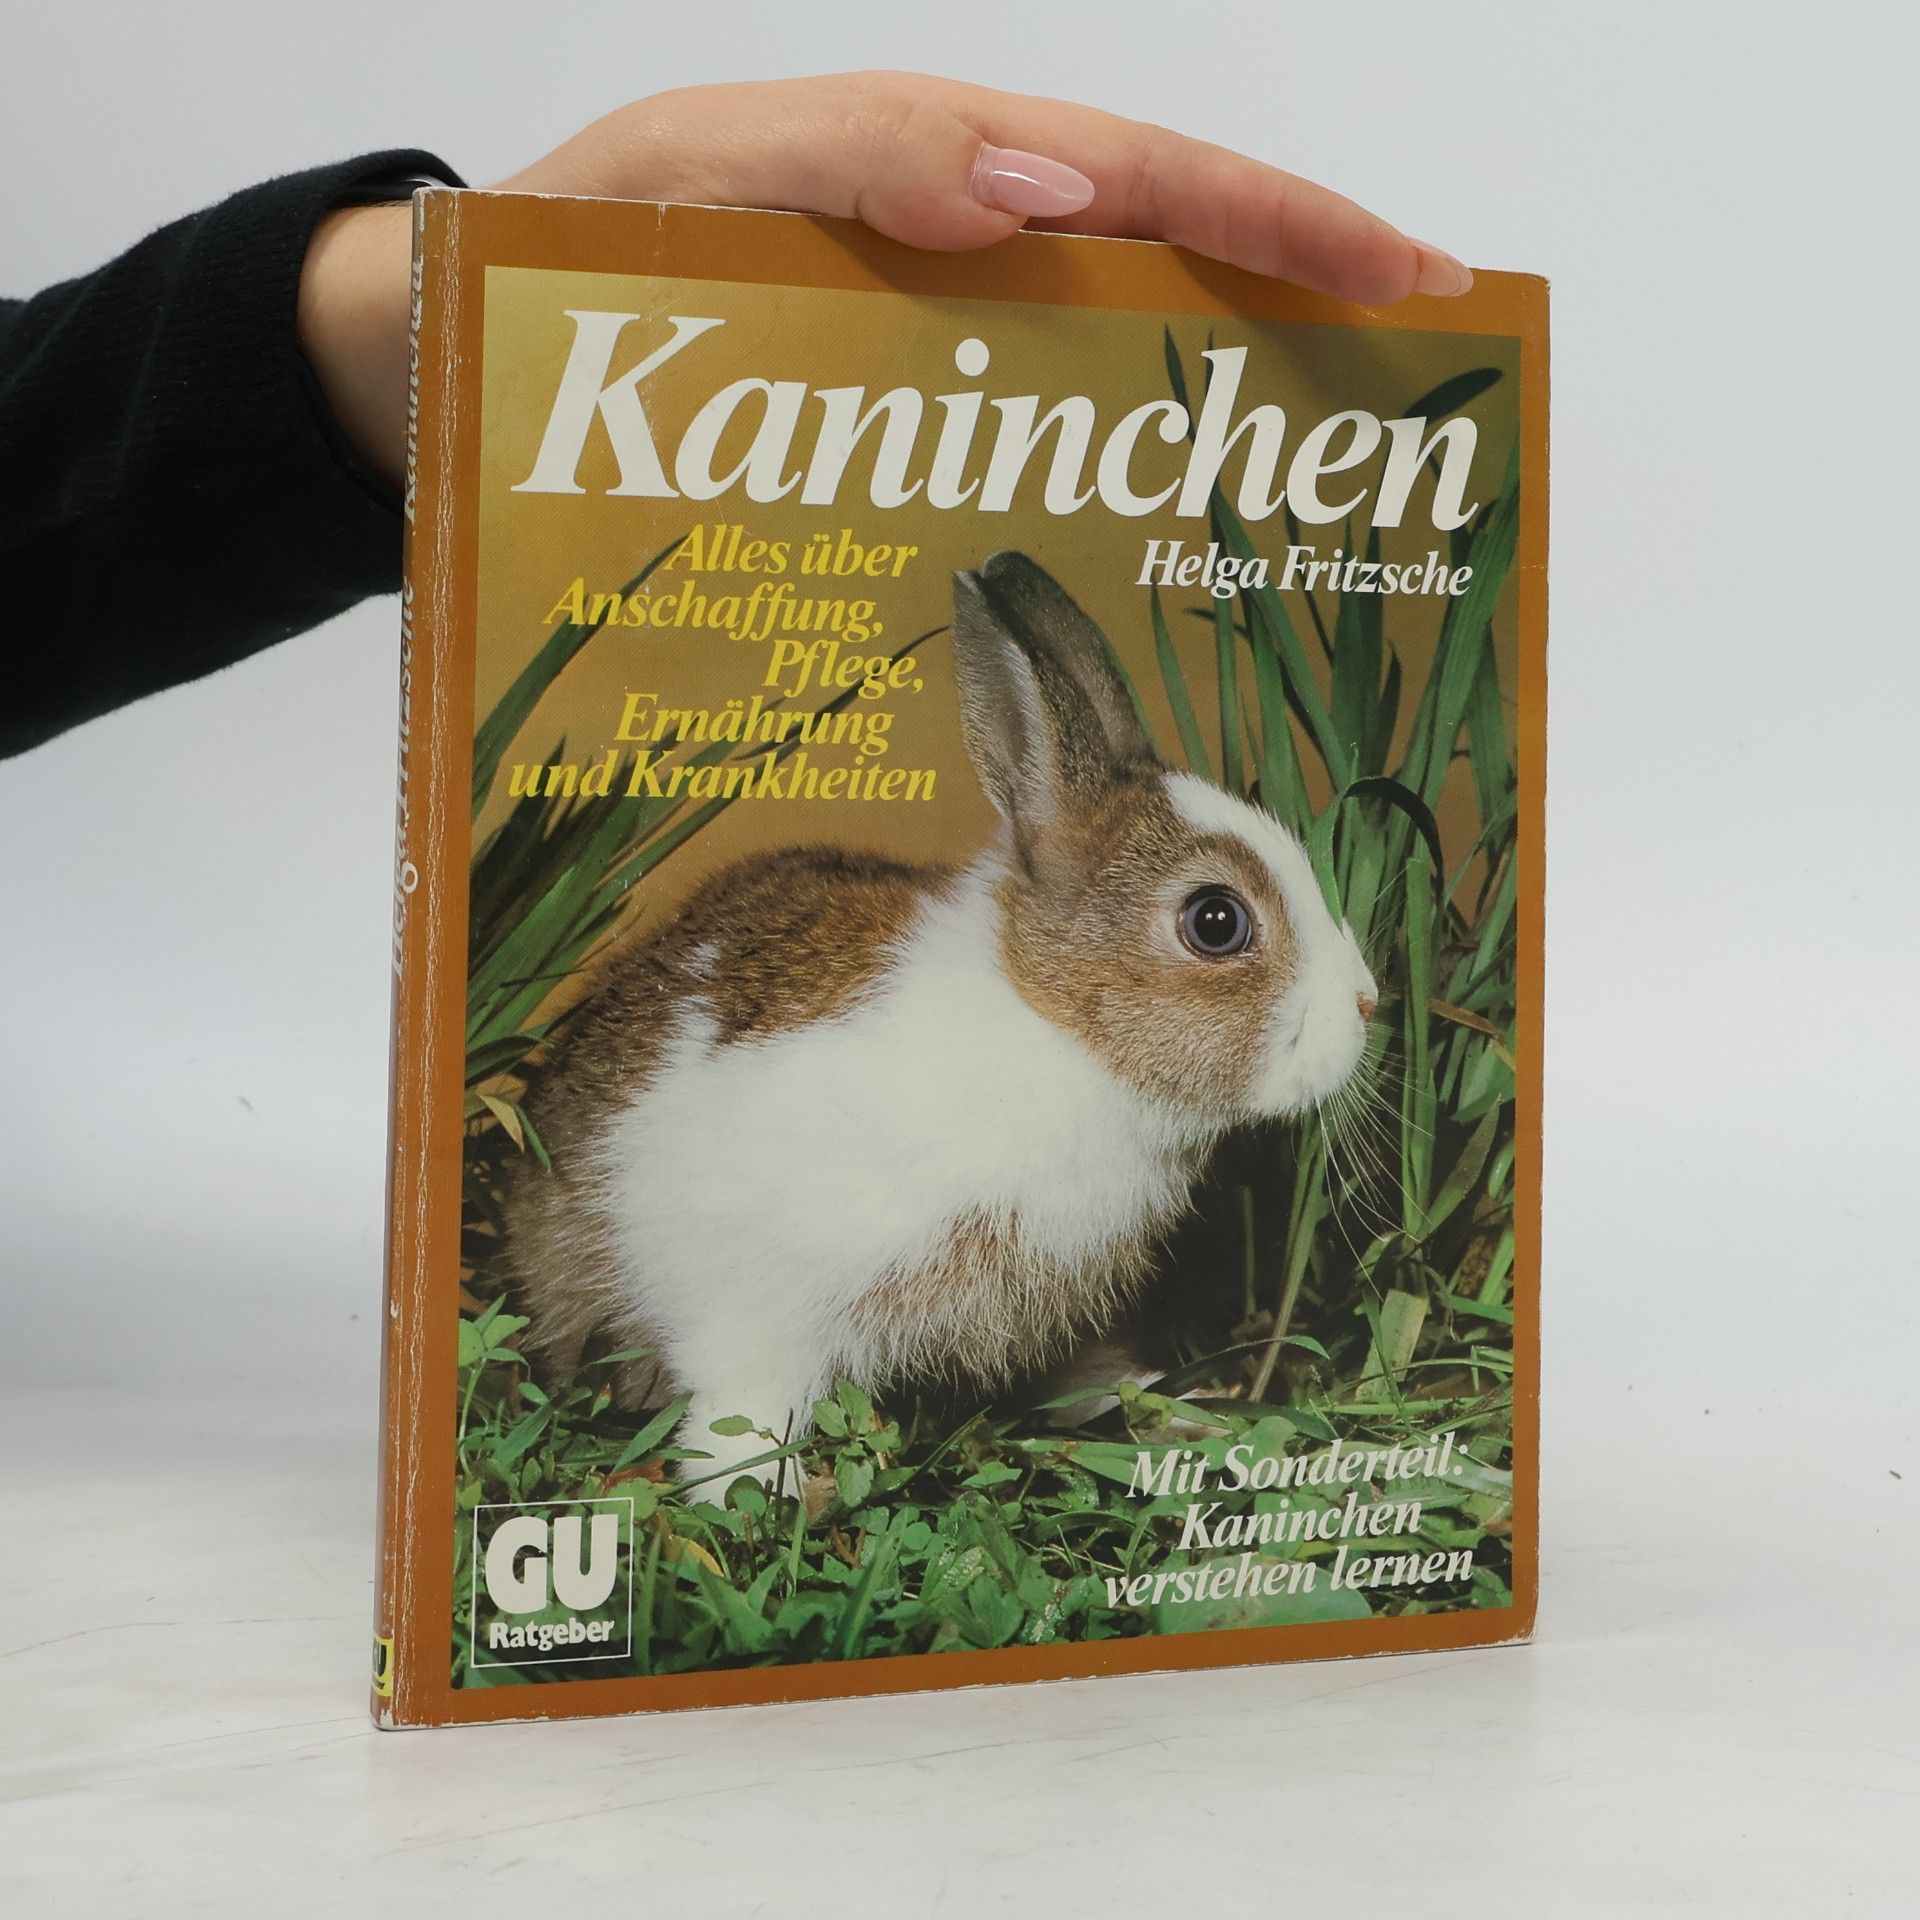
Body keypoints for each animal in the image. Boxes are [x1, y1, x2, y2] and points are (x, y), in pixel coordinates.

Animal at [501, 551, 1378, 1488]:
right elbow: (743, 1411)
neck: (1054, 1028)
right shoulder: (761, 1310)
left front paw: (1172, 1412)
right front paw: (757, 1494)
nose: (1368, 1004)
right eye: (1217, 922)